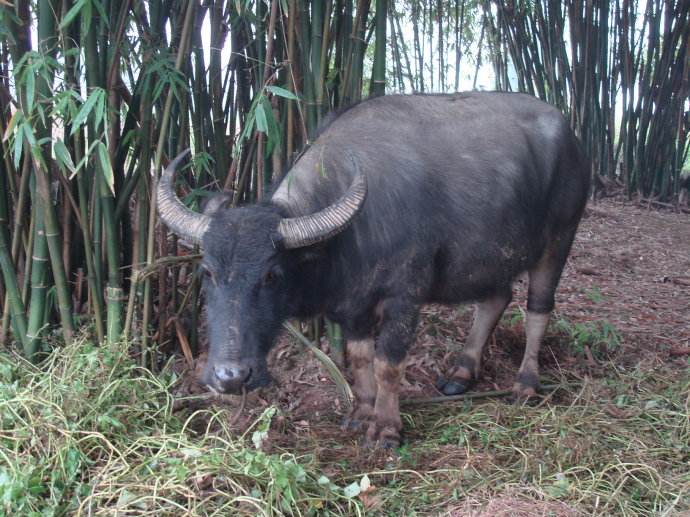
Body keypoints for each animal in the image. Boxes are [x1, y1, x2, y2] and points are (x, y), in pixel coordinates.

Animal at [159, 92, 588, 448]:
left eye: (271, 275)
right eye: (207, 274)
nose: (229, 377)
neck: (347, 237)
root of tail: (568, 132)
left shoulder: (404, 298)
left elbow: (387, 364)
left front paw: (385, 428)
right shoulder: (353, 305)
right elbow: (360, 357)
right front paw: (361, 412)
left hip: (559, 238)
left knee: (538, 308)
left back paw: (525, 384)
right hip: (490, 256)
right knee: (496, 298)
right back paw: (461, 374)